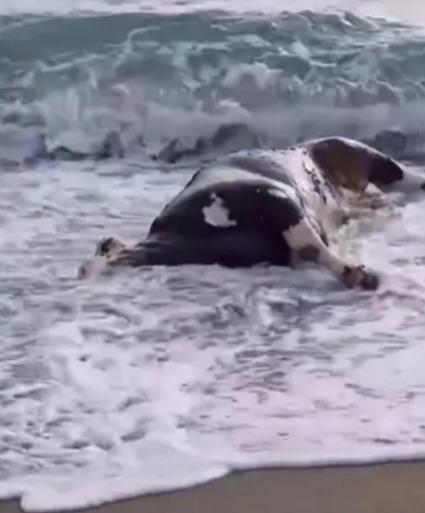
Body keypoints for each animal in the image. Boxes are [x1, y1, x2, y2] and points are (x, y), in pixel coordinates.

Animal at [78, 136, 424, 290]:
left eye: (94, 259)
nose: (82, 272)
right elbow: (307, 247)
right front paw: (357, 273)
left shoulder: (273, 198)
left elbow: (308, 243)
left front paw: (357, 272)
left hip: (352, 150)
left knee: (400, 175)